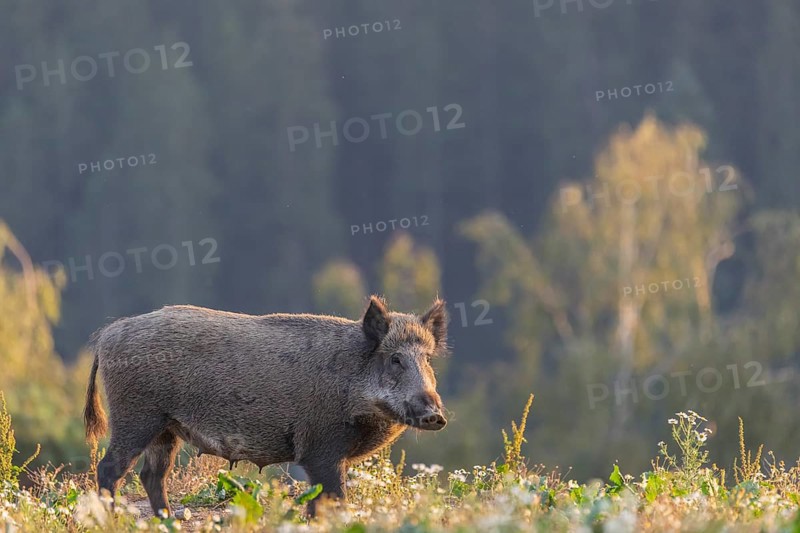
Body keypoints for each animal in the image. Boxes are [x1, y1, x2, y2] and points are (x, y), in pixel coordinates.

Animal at [83, 296, 448, 517]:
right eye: (395, 359)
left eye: (427, 359)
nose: (436, 415)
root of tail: (107, 336)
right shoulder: (319, 449)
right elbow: (333, 498)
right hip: (136, 416)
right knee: (110, 469)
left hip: (166, 428)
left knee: (151, 475)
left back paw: (167, 519)